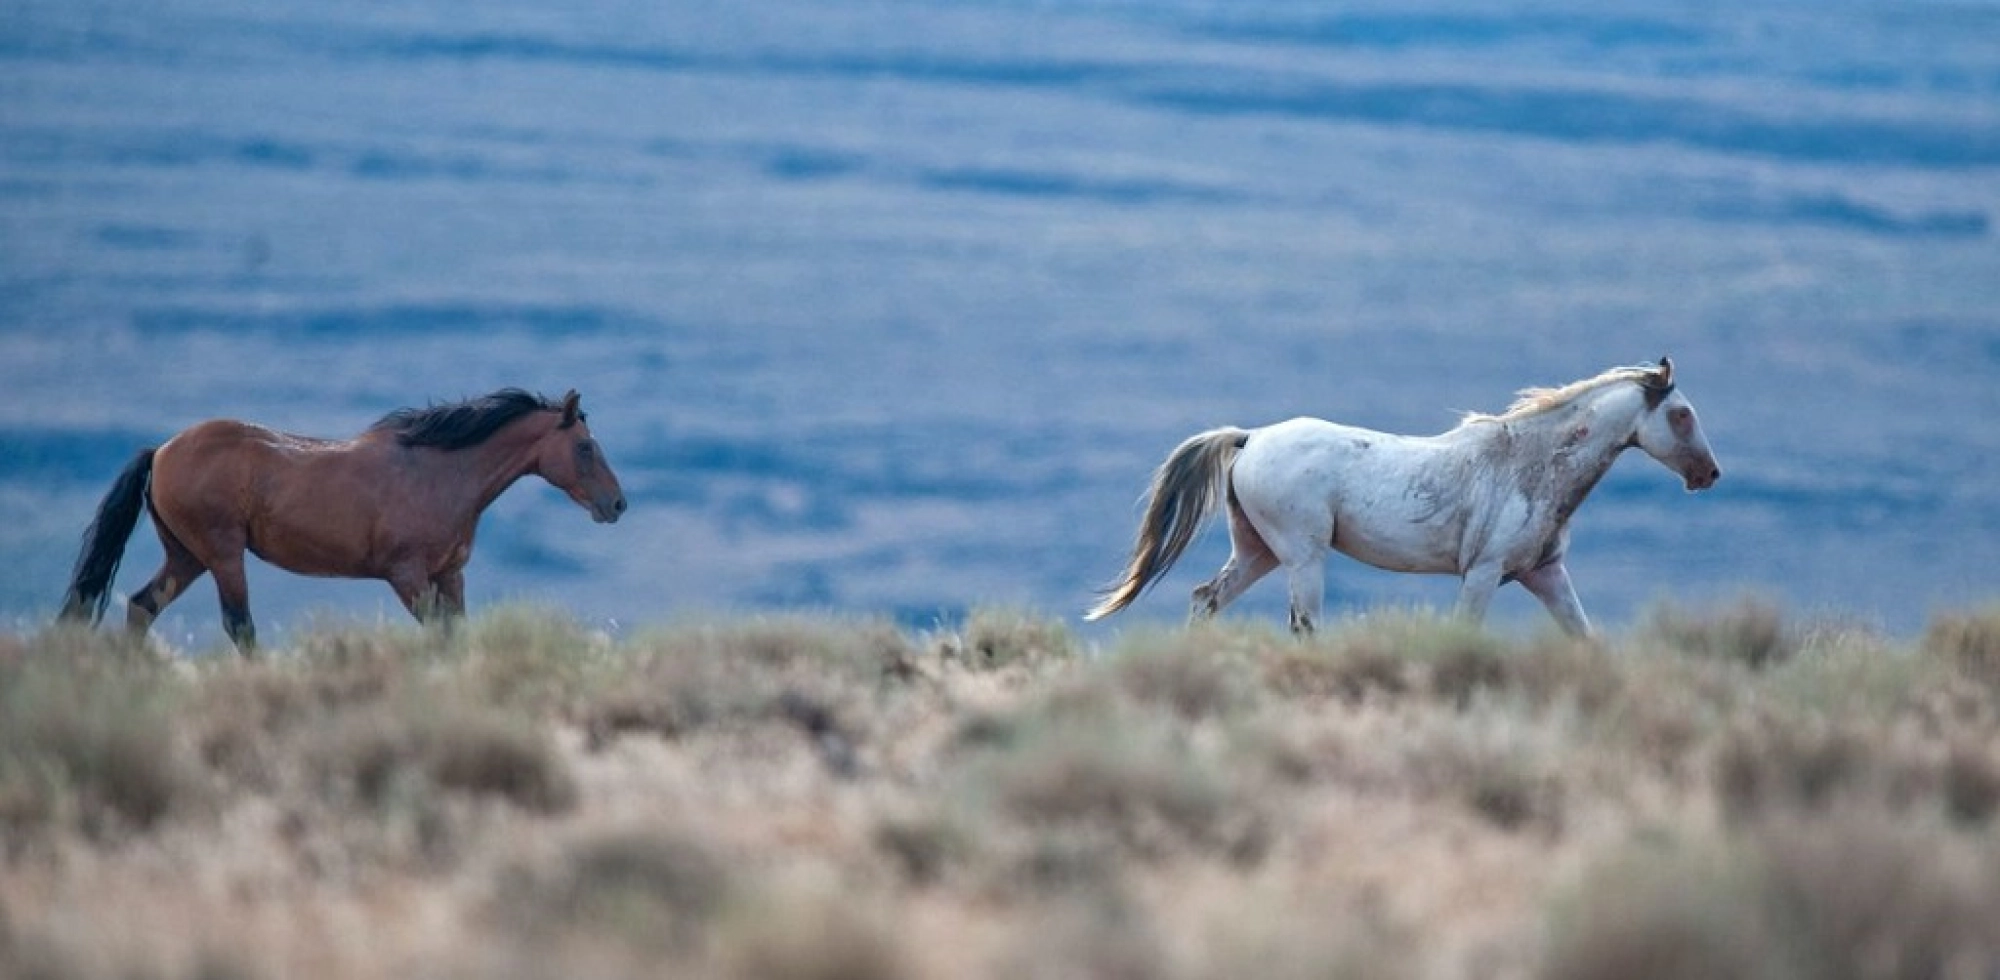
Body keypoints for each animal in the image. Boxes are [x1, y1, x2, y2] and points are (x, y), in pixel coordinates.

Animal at [58, 388, 626, 654]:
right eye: (584, 447)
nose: (617, 505)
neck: (440, 472)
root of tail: (161, 452)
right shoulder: (406, 576)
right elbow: (436, 633)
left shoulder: (450, 574)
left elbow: (455, 635)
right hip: (222, 554)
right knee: (238, 626)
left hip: (187, 556)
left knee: (140, 607)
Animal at [1086, 357, 1719, 637]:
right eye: (1683, 414)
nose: (1708, 474)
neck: (1531, 464)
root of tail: (1251, 438)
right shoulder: (1483, 573)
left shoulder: (1545, 574)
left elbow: (1585, 638)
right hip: (1302, 556)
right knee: (1303, 624)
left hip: (1257, 552)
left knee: (1206, 599)